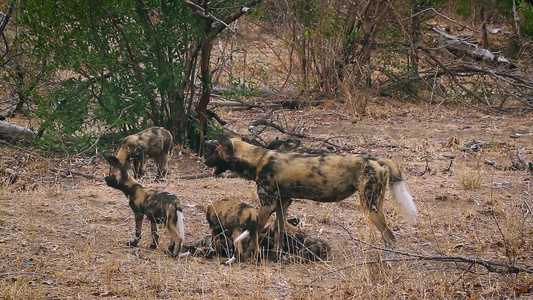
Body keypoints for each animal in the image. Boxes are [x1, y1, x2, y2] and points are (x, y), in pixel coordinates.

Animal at [204, 135, 416, 250]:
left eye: (215, 152)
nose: (205, 161)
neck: (258, 160)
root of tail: (374, 158)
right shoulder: (282, 203)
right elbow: (280, 230)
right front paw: (278, 253)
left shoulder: (267, 205)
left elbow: (254, 231)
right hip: (376, 203)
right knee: (389, 237)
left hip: (370, 207)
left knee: (390, 237)